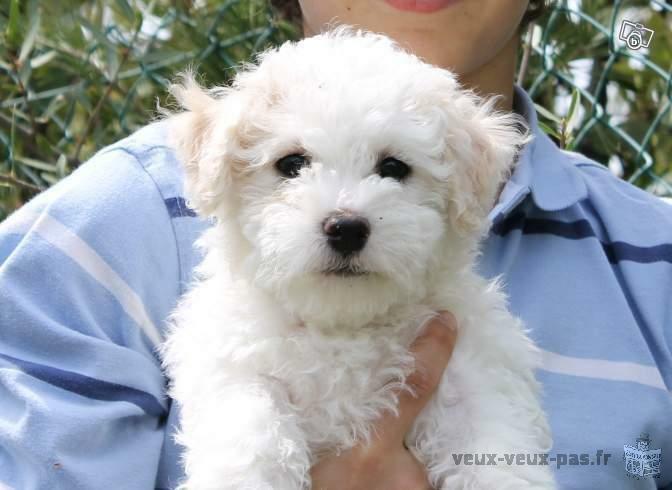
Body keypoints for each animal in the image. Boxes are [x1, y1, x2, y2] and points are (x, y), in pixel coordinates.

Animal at [160, 25, 552, 490]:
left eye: (394, 168)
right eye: (292, 163)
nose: (346, 227)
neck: (343, 327)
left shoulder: (473, 374)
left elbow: (491, 445)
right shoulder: (233, 363)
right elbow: (252, 428)